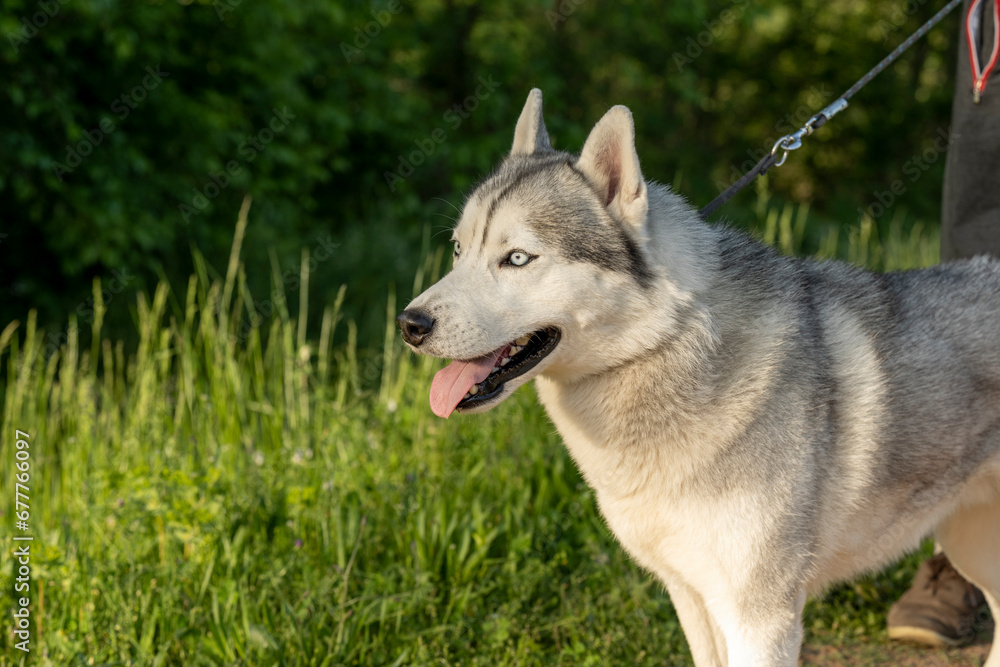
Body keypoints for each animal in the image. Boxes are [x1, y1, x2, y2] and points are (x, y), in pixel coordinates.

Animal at [394, 90, 996, 667]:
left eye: (517, 258)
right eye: (457, 249)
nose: (410, 324)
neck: (666, 350)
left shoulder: (761, 618)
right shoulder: (691, 595)